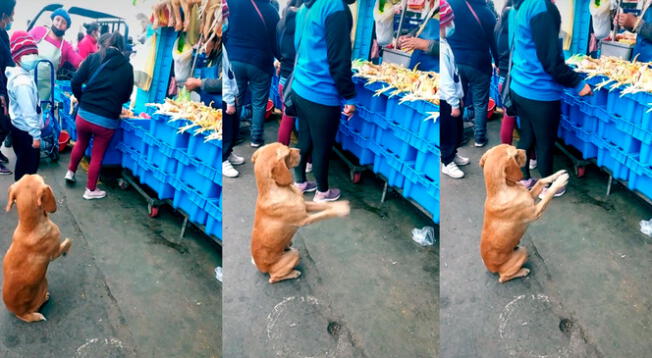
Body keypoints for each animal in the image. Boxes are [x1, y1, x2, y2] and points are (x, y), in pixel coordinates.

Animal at [3, 174, 71, 322]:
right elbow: (68, 243)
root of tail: (19, 313)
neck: (29, 227)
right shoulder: (54, 253)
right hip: (44, 282)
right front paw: (67, 248)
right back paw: (44, 299)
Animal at [251, 143, 352, 282]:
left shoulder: (305, 205)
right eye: (288, 152)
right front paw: (340, 209)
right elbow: (324, 214)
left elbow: (324, 205)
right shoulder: (305, 220)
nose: (300, 151)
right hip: (293, 256)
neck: (277, 189)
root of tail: (261, 267)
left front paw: (338, 205)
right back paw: (294, 273)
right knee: (274, 278)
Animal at [478, 145, 564, 282]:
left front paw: (558, 174)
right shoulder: (535, 212)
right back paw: (523, 271)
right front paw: (560, 181)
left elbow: (541, 180)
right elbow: (548, 194)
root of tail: (491, 268)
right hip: (523, 252)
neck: (500, 190)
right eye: (516, 154)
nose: (526, 151)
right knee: (503, 277)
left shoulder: (530, 196)